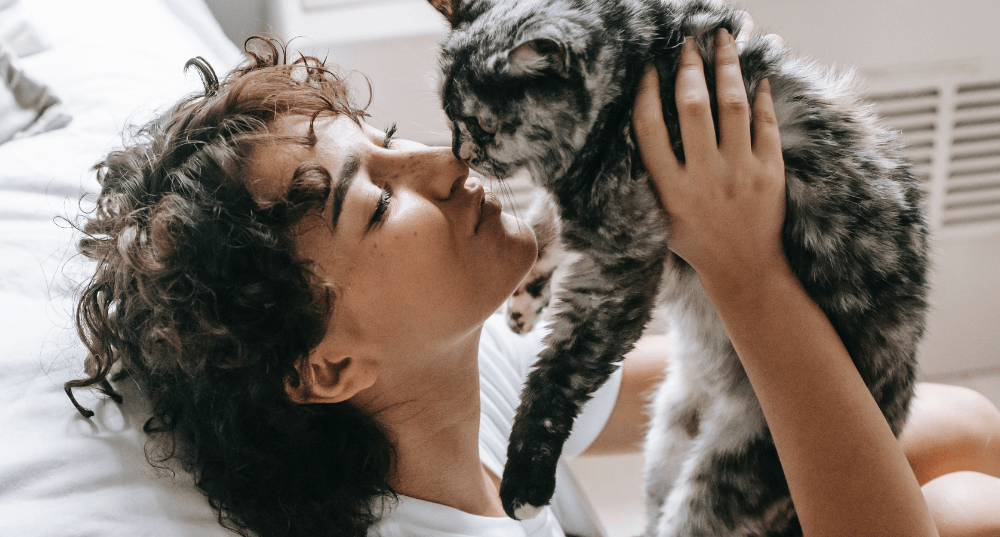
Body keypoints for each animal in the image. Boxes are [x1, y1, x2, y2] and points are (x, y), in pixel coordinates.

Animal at [424, 0, 928, 532]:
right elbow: (542, 232)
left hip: (724, 477)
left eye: (482, 126)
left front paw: (524, 481)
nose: (460, 155)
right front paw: (524, 304)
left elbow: (557, 374)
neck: (640, 61)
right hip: (665, 444)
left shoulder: (622, 263)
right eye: (449, 117)